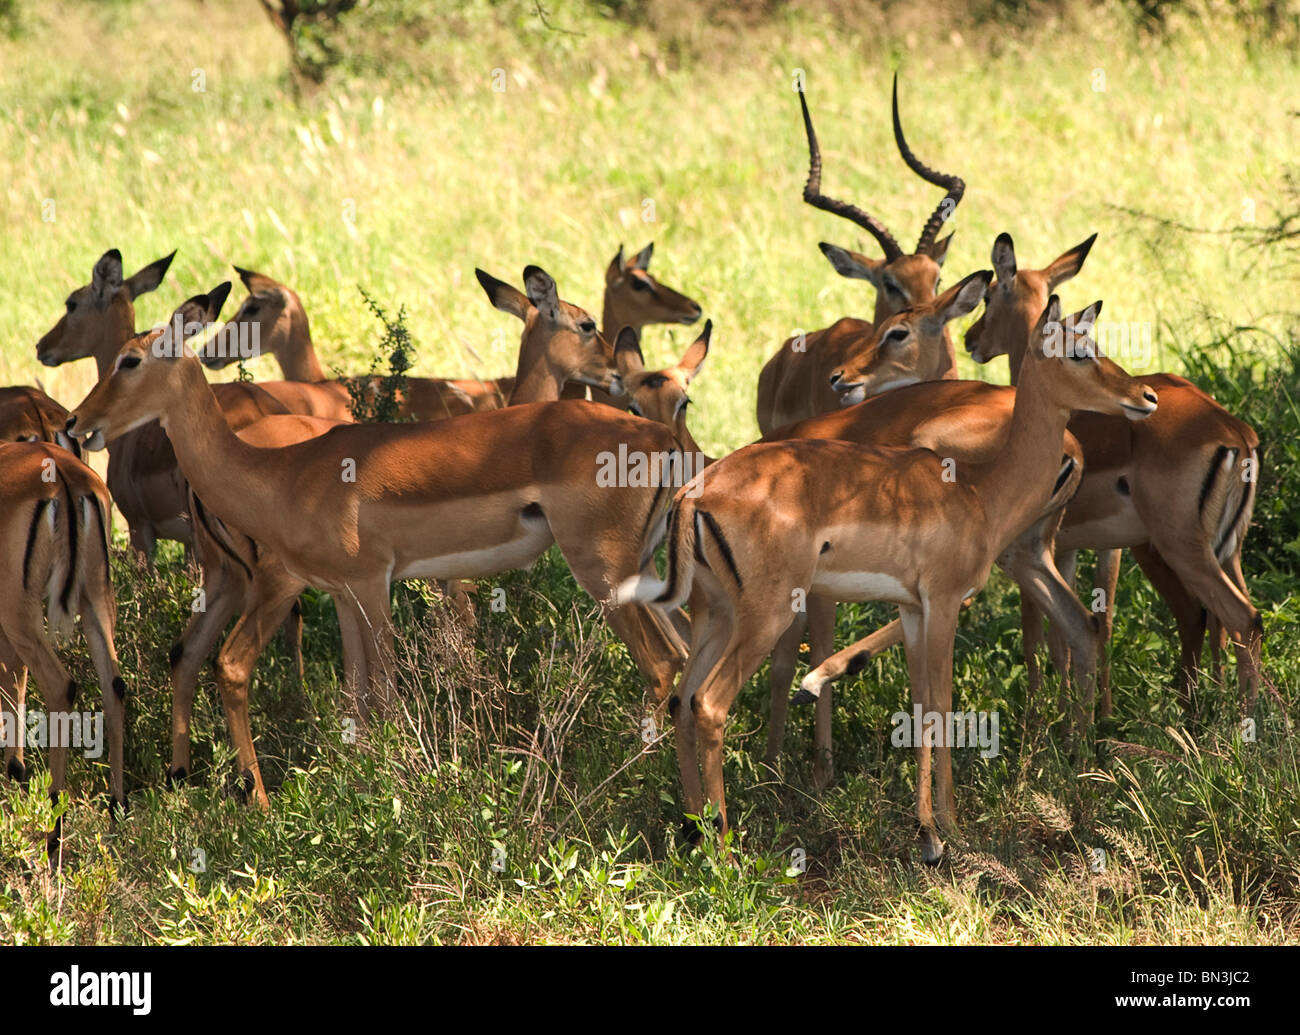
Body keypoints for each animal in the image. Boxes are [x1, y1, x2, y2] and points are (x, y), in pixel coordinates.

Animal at [0, 442, 125, 858]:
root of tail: (67, 478)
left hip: (19, 613)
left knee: (61, 686)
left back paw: (54, 831)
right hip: (96, 599)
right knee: (115, 685)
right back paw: (118, 814)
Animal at [67, 278, 690, 759]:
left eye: (131, 360)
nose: (76, 422)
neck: (284, 473)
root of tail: (661, 439)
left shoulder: (372, 584)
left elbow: (385, 697)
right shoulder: (344, 594)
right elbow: (355, 698)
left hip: (604, 572)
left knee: (662, 663)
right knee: (681, 657)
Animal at [619, 297, 1158, 860]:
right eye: (1078, 352)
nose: (1145, 397)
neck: (979, 493)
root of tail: (693, 495)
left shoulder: (914, 609)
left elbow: (920, 706)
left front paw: (928, 834)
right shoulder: (943, 603)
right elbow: (941, 705)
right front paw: (952, 830)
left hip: (716, 615)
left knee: (682, 700)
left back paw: (695, 830)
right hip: (765, 615)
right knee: (709, 704)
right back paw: (723, 849)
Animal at [964, 233, 1263, 713]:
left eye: (989, 295)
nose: (970, 338)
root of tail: (1235, 432)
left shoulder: (1038, 548)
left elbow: (1040, 638)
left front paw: (1045, 717)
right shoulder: (1079, 548)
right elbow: (1087, 628)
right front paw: (1090, 714)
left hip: (1180, 549)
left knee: (1237, 620)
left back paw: (1237, 720)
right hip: (1225, 549)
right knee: (1230, 622)